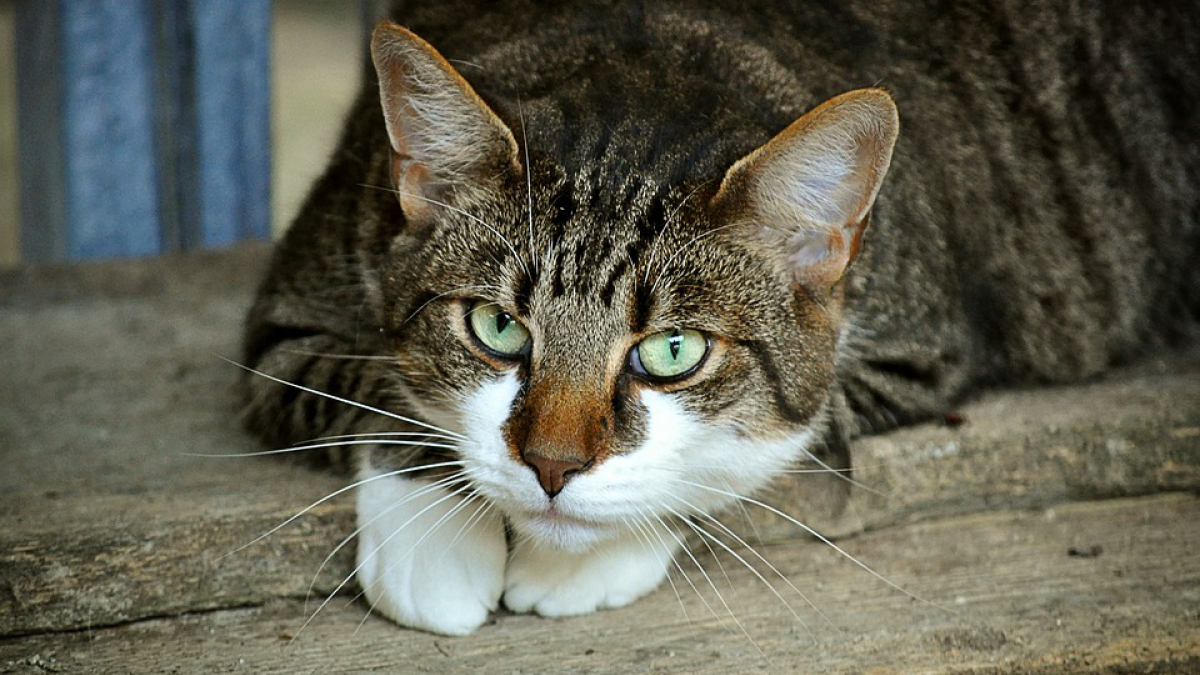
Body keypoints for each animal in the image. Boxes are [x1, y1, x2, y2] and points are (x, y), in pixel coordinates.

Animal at [238, 0, 1195, 634]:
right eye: (497, 329)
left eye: (672, 351)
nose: (551, 467)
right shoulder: (293, 308)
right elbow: (375, 388)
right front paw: (434, 544)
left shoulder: (918, 353)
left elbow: (765, 445)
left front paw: (576, 560)